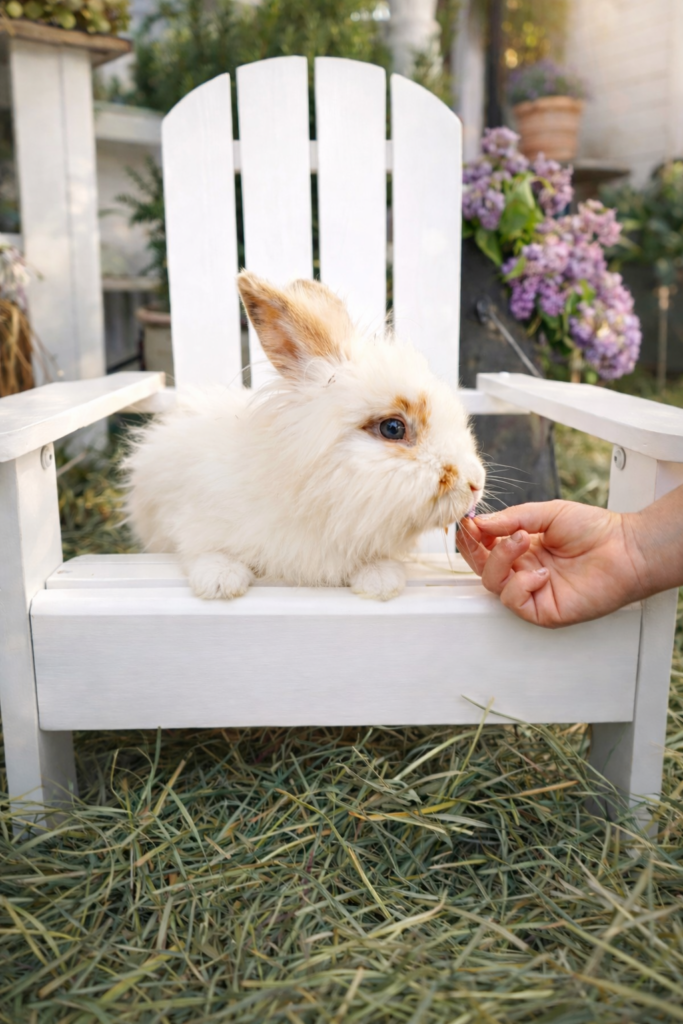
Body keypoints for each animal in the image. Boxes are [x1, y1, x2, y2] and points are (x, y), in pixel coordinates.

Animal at [125, 271, 486, 601]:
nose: (476, 482)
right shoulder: (192, 517)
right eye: (393, 428)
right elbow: (200, 548)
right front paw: (220, 581)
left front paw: (381, 581)